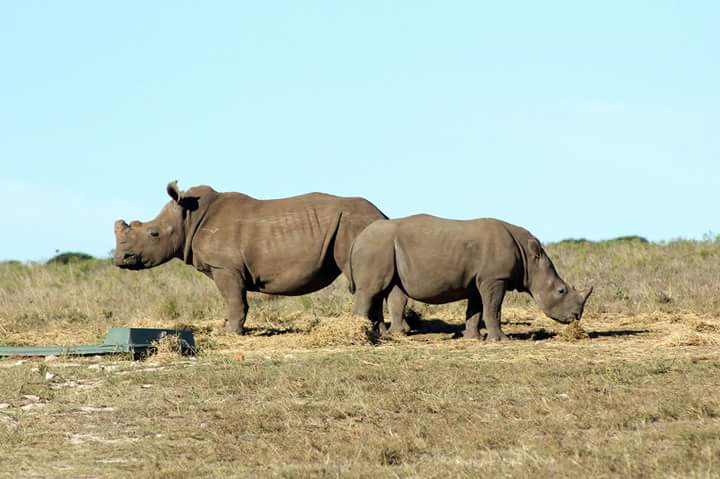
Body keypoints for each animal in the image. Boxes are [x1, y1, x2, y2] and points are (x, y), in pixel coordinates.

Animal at [114, 181, 388, 334]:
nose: (120, 259)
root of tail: (381, 214)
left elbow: (235, 301)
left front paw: (229, 333)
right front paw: (227, 328)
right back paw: (381, 330)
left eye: (153, 233)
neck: (188, 219)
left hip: (353, 225)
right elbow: (235, 301)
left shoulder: (225, 268)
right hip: (359, 226)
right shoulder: (225, 268)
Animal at [348, 215, 592, 340]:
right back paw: (363, 336)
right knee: (371, 291)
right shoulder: (495, 278)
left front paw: (473, 338)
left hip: (385, 247)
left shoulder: (480, 280)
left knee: (387, 290)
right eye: (561, 290)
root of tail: (358, 238)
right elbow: (493, 309)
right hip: (376, 246)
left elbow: (475, 310)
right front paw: (500, 340)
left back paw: (388, 335)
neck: (529, 259)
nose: (576, 317)